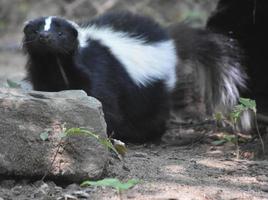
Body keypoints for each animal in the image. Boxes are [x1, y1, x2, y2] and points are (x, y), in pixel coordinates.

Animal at [23, 11, 249, 142]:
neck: (56, 63)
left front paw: (107, 134)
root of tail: (168, 39)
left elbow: (105, 103)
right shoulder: (44, 75)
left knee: (152, 113)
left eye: (60, 34)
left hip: (154, 89)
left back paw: (149, 136)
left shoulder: (101, 71)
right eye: (34, 31)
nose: (44, 37)